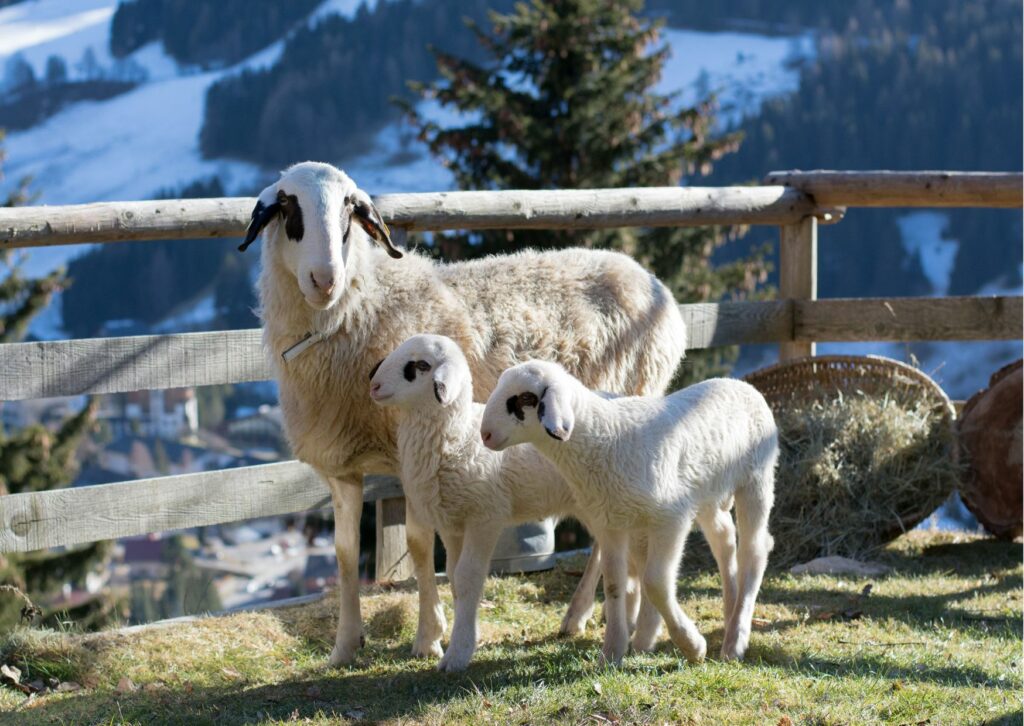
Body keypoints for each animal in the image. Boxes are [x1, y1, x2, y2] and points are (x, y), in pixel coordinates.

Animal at [370, 331, 618, 667]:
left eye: (421, 365)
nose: (373, 385)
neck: (456, 437)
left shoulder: (484, 517)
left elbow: (468, 577)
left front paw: (458, 653)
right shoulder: (453, 524)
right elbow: (454, 577)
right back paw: (581, 617)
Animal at [479, 360, 774, 663]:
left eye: (526, 398)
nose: (485, 435)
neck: (606, 439)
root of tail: (741, 384)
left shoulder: (670, 518)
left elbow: (655, 583)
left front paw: (692, 646)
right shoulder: (611, 524)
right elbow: (614, 585)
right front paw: (612, 652)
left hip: (755, 480)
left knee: (754, 550)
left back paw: (735, 641)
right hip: (707, 494)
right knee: (724, 538)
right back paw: (730, 613)